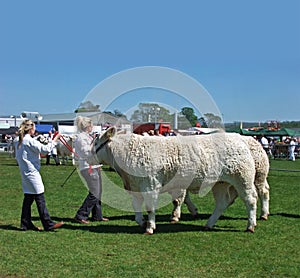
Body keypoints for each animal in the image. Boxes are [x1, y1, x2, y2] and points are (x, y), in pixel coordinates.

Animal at [89, 127, 258, 235]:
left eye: (96, 142)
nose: (86, 155)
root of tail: (239, 138)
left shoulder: (151, 184)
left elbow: (150, 208)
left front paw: (150, 227)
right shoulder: (134, 186)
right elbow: (136, 207)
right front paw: (141, 222)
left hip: (243, 178)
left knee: (251, 200)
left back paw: (250, 225)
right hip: (220, 183)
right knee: (222, 203)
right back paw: (208, 225)